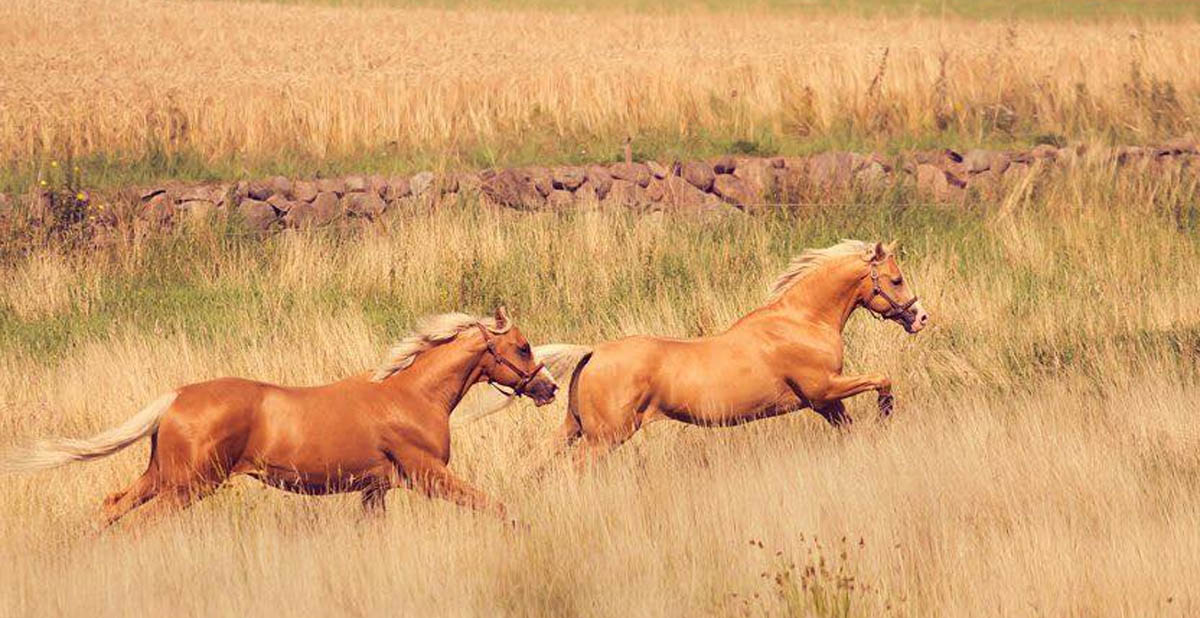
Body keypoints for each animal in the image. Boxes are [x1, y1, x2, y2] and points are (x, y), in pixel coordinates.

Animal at [2, 309, 554, 528]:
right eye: (523, 347)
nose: (548, 387)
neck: (411, 395)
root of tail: (175, 397)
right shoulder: (428, 475)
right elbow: (493, 505)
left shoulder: (375, 489)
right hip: (187, 487)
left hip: (162, 477)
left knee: (112, 506)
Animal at [458, 240, 926, 468]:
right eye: (896, 279)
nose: (921, 317)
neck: (801, 321)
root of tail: (593, 353)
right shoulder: (824, 388)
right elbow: (882, 378)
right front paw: (886, 412)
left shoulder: (825, 402)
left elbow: (849, 429)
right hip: (604, 438)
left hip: (575, 428)